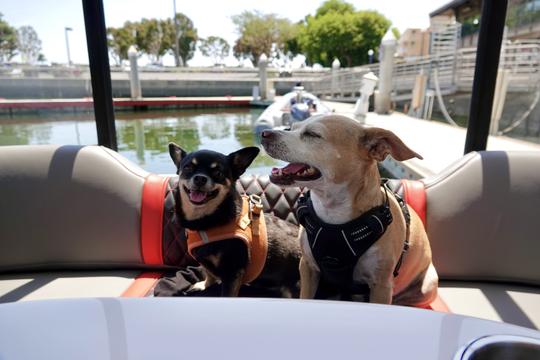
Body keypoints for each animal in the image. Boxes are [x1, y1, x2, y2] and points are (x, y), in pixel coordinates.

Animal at [262, 114, 438, 306]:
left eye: (313, 134)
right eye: (291, 127)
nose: (265, 133)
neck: (333, 214)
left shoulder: (381, 286)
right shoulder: (307, 267)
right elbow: (305, 295)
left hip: (427, 286)